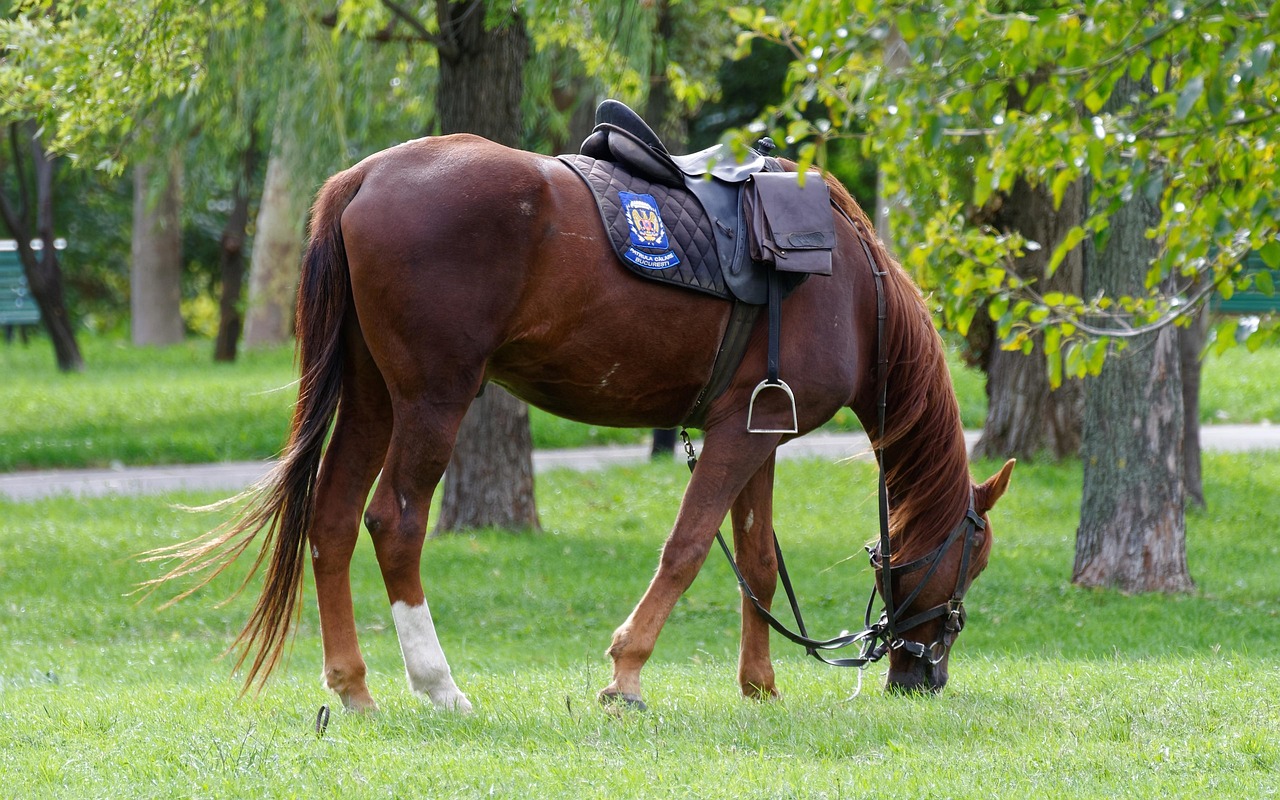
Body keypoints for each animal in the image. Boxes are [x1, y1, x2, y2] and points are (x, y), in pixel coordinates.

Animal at [151, 131, 1014, 713]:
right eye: (971, 561)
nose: (923, 675)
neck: (852, 290)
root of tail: (362, 178)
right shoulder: (740, 437)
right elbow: (688, 549)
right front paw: (627, 672)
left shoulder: (760, 433)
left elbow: (758, 559)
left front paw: (759, 685)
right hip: (433, 398)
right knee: (393, 521)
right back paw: (439, 684)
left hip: (372, 398)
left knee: (331, 519)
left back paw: (356, 687)